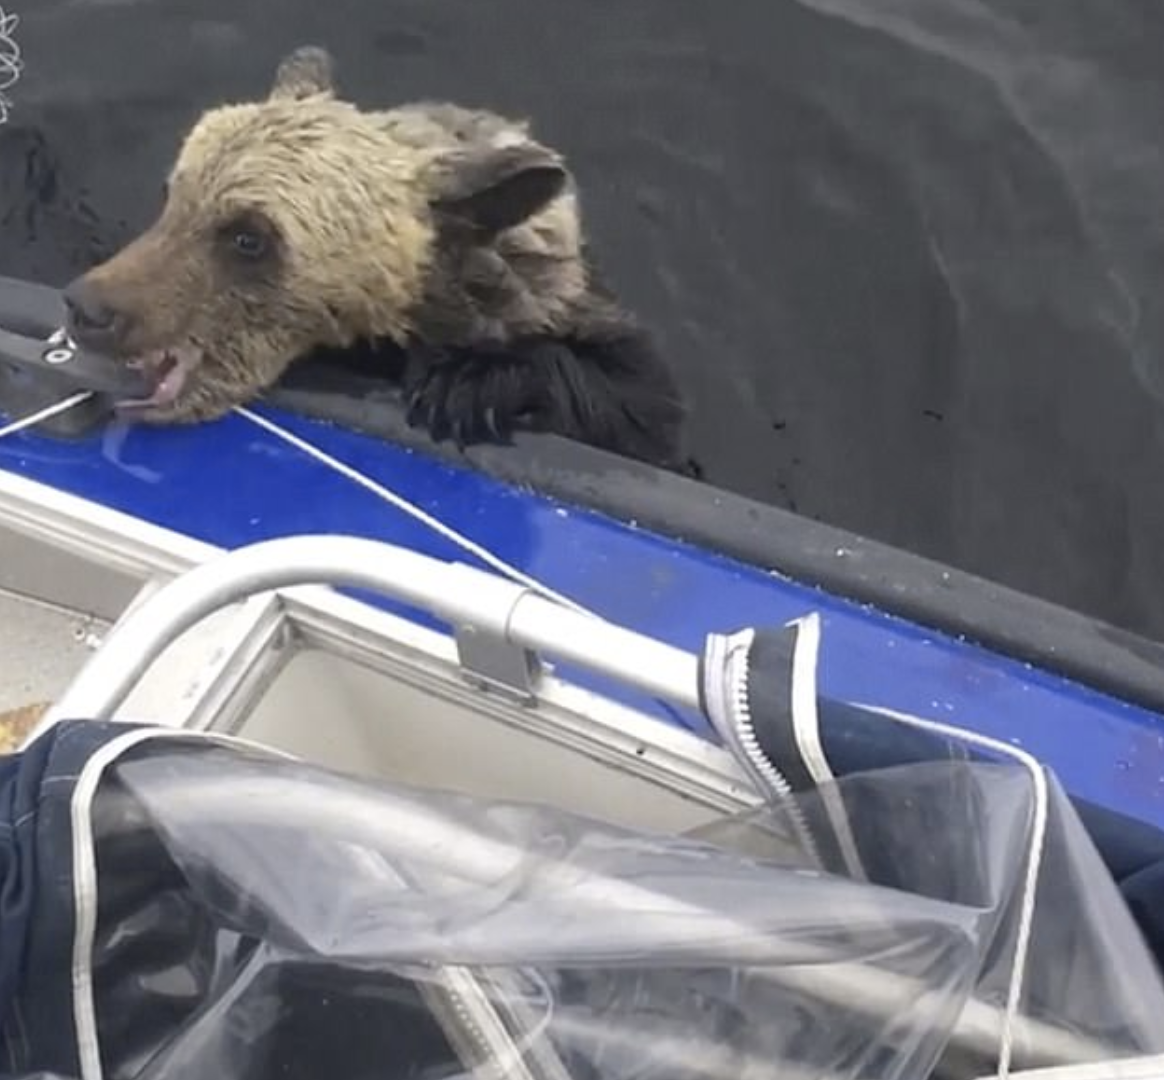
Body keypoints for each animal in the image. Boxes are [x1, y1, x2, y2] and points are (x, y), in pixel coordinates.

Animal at [59, 45, 684, 467]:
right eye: (172, 194)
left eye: (249, 237)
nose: (88, 307)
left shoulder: (564, 311)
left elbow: (636, 405)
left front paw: (465, 386)